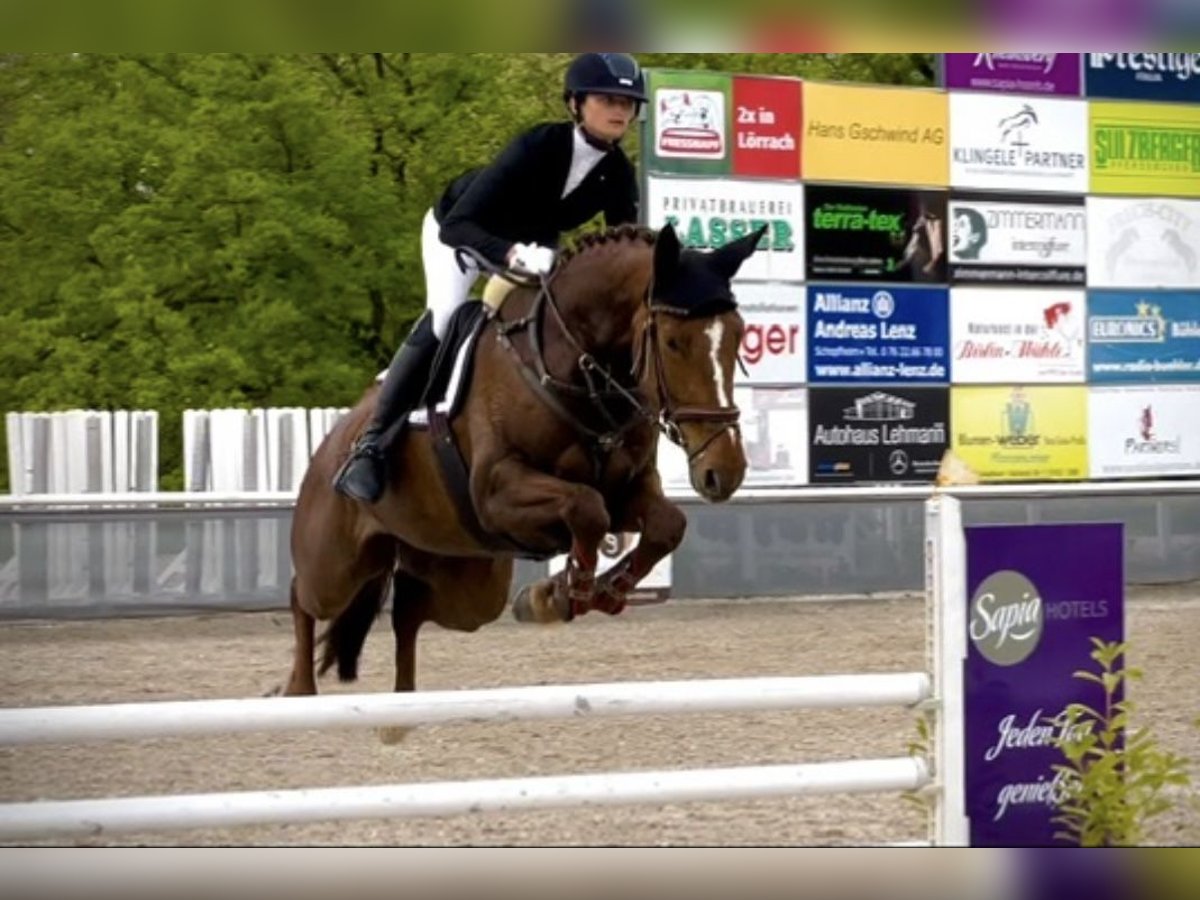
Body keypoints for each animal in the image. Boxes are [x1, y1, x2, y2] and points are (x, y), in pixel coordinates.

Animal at [279, 220, 763, 734]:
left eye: (738, 337)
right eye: (672, 341)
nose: (724, 471)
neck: (576, 370)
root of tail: (331, 441)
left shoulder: (626, 491)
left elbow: (666, 525)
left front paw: (581, 593)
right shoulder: (498, 493)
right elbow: (586, 508)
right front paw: (563, 593)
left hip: (466, 582)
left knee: (410, 608)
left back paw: (399, 716)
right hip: (336, 565)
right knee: (304, 597)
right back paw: (297, 691)